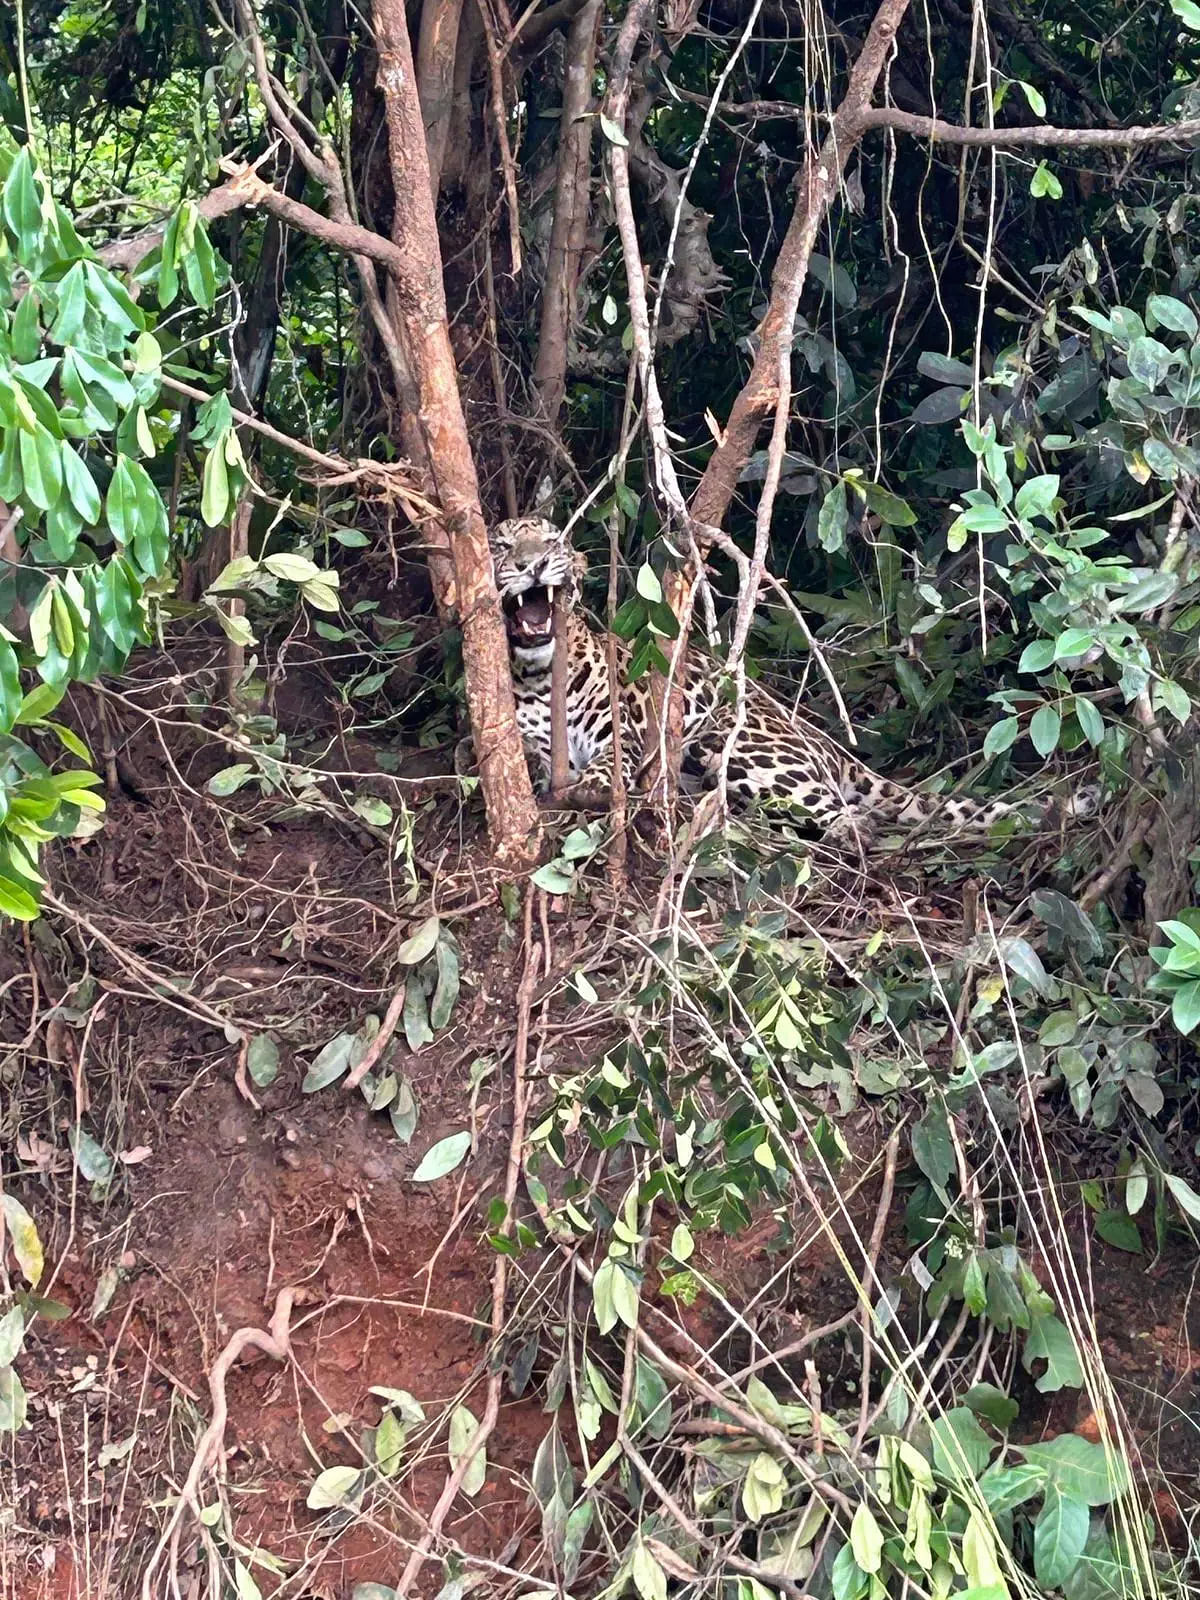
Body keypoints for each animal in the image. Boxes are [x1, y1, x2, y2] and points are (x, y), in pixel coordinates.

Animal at [489, 515, 1100, 844]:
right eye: (502, 548)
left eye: (551, 544)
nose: (532, 565)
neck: (537, 672)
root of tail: (828, 742)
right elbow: (536, 760)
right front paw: (553, 780)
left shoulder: (637, 723)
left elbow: (614, 761)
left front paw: (591, 785)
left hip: (738, 746)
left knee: (847, 811)